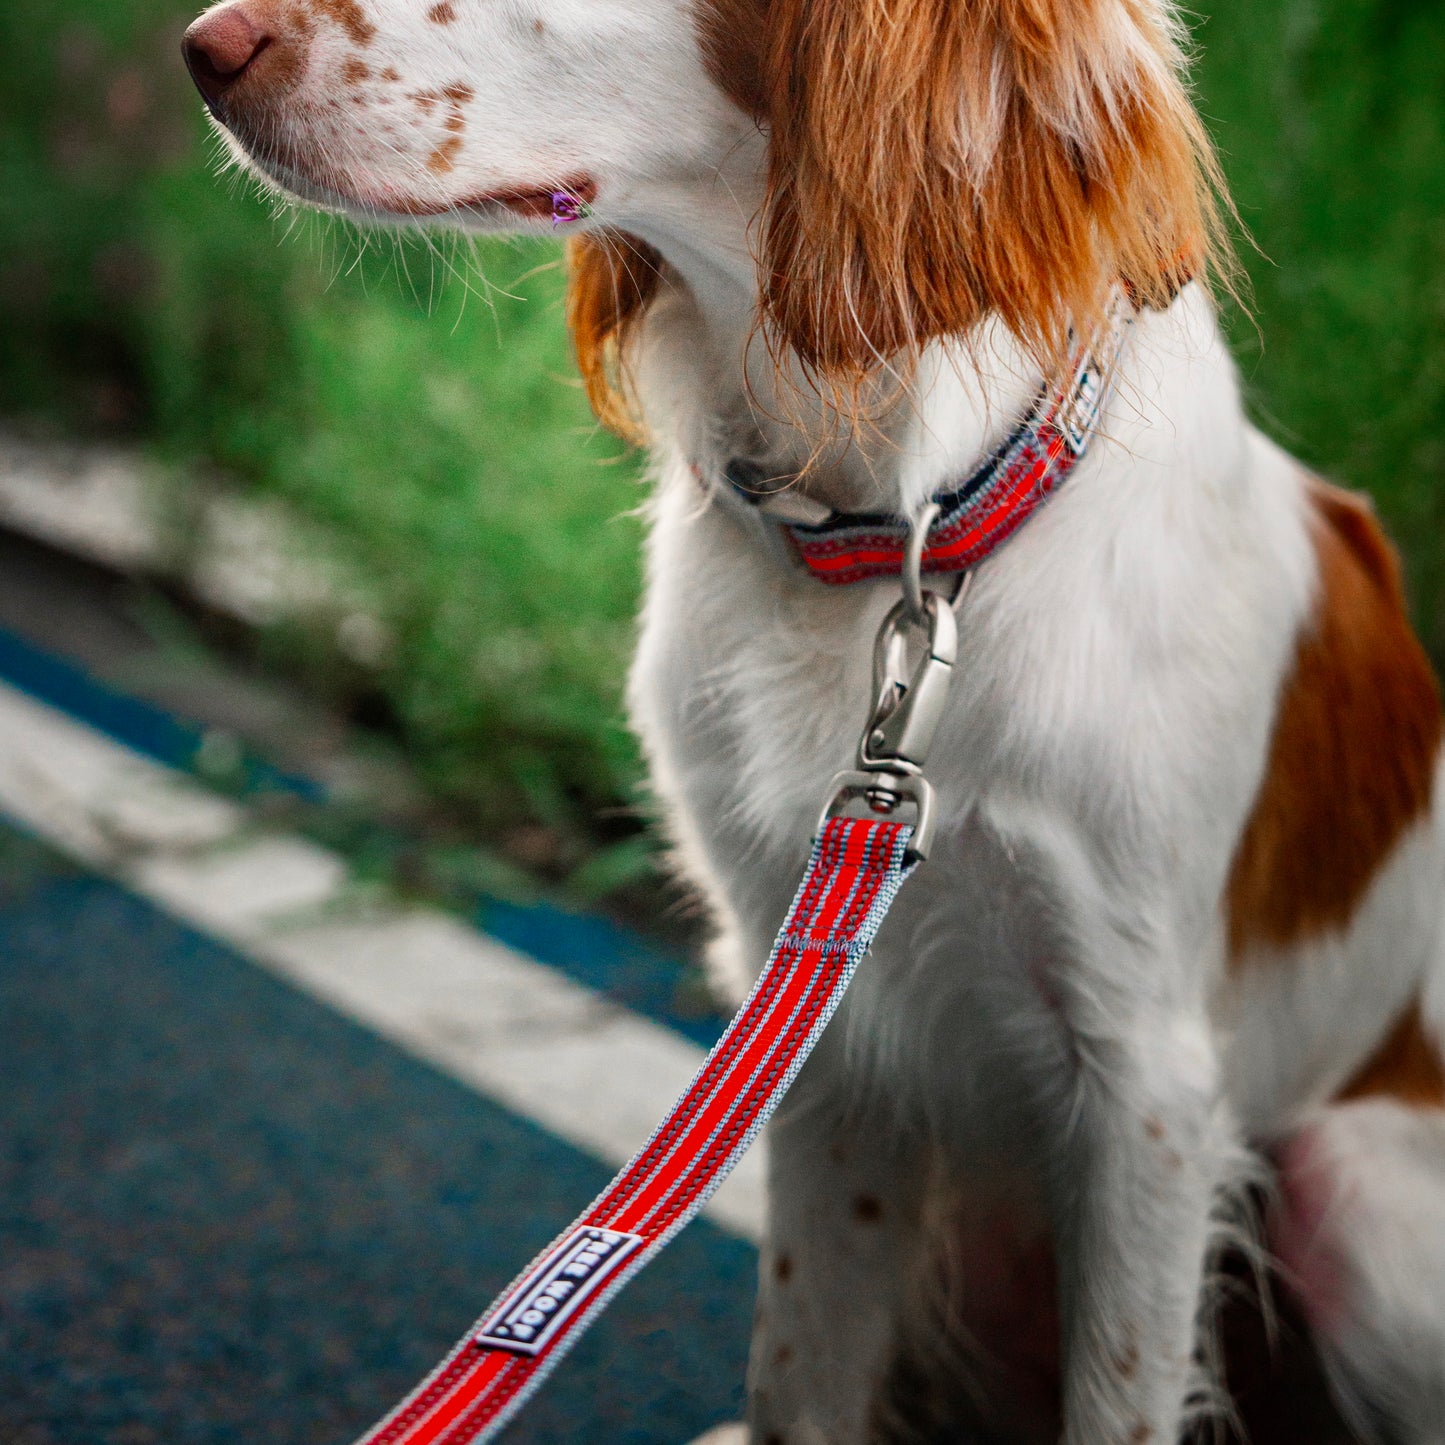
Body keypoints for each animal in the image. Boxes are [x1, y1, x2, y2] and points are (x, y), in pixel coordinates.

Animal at [183, 5, 1445, 1439]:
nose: (205, 48)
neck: (899, 525)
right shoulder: (823, 1028)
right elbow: (802, 1369)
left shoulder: (1147, 1090)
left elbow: (1115, 1392)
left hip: (1355, 1195)